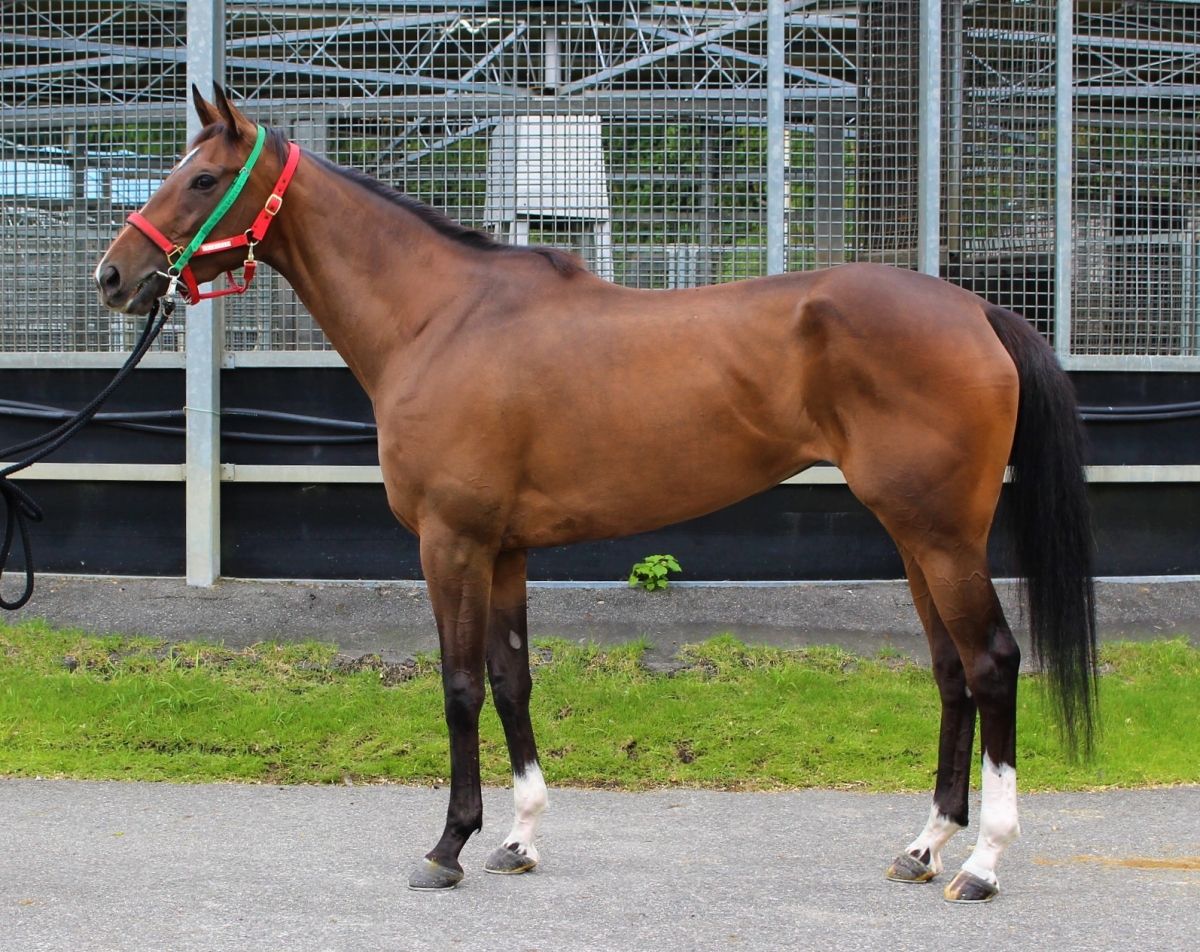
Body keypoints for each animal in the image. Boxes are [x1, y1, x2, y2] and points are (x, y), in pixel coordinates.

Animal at [95, 86, 1096, 903]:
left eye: (203, 177)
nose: (113, 276)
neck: (440, 318)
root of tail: (977, 309)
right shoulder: (505, 548)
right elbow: (512, 679)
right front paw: (518, 840)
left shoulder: (451, 541)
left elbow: (459, 684)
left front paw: (448, 848)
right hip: (915, 536)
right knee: (950, 672)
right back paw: (924, 848)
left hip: (942, 536)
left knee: (992, 663)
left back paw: (981, 864)